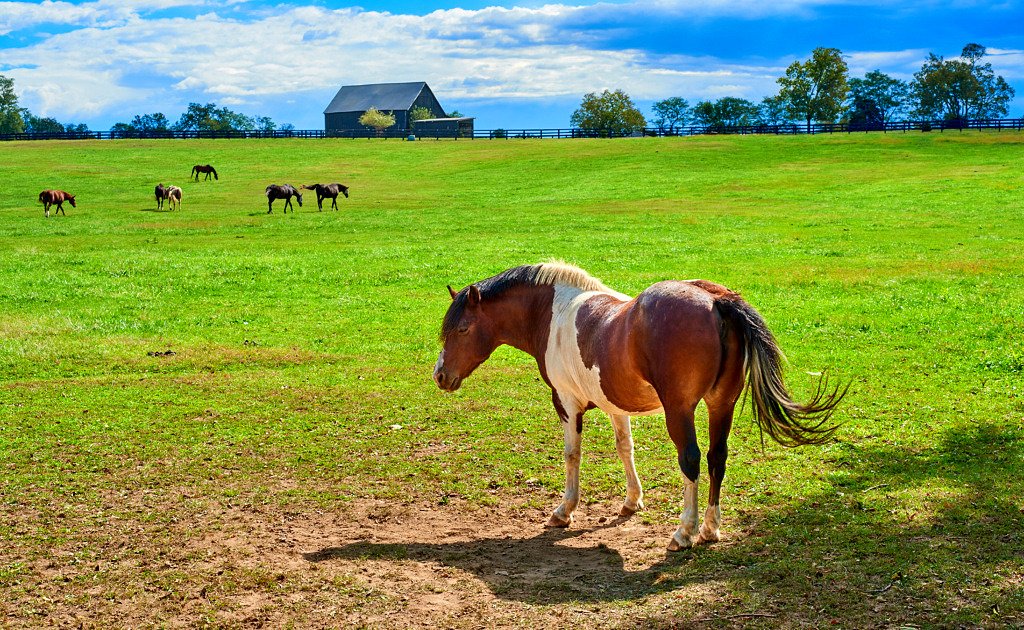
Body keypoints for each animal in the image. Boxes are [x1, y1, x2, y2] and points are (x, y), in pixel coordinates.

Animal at [436, 264, 843, 549]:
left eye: (462, 329)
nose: (440, 376)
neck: (553, 312)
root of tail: (716, 300)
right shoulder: (615, 404)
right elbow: (625, 448)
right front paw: (632, 501)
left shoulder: (566, 401)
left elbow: (572, 454)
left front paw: (564, 510)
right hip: (720, 404)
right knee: (717, 458)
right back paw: (710, 529)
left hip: (680, 410)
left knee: (692, 459)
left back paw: (685, 532)